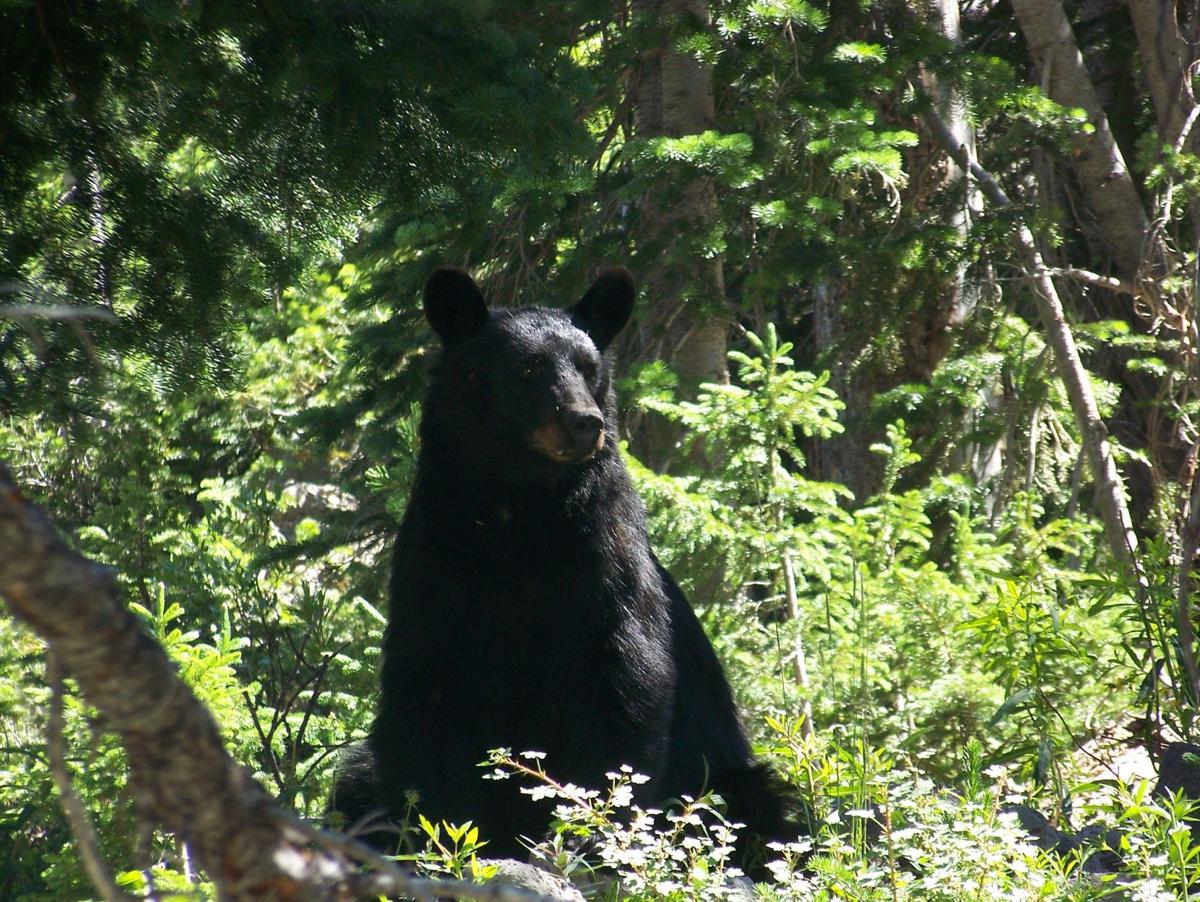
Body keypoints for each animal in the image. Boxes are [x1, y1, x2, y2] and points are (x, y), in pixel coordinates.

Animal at [331, 266, 798, 873]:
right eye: (528, 367)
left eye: (590, 368)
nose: (585, 423)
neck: (519, 512)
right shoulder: (434, 567)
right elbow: (424, 696)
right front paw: (435, 836)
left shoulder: (604, 563)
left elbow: (624, 677)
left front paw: (591, 833)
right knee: (356, 780)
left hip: (726, 776)